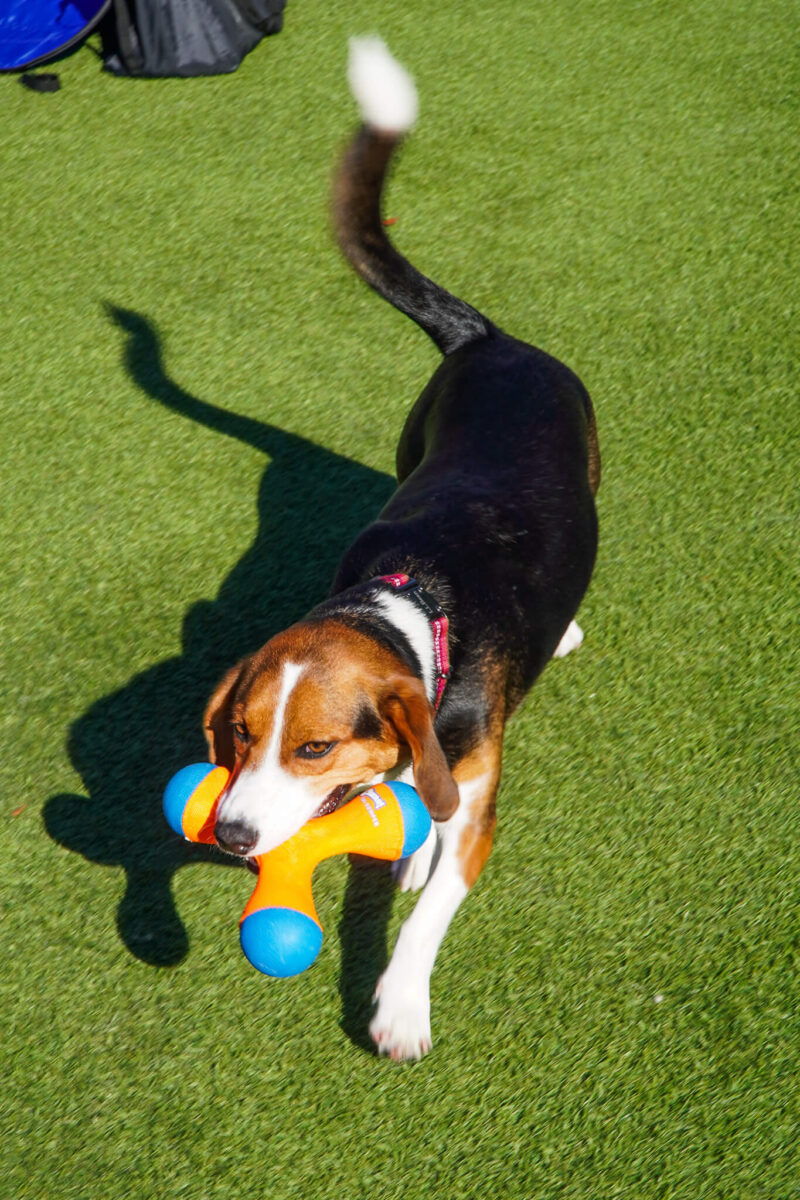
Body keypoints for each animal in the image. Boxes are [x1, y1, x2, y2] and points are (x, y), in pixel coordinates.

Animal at [206, 35, 599, 1060]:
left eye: (311, 748)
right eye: (239, 736)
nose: (230, 837)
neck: (409, 607)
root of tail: (490, 338)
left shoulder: (480, 793)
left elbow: (431, 907)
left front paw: (400, 1004)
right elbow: (421, 811)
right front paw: (411, 850)